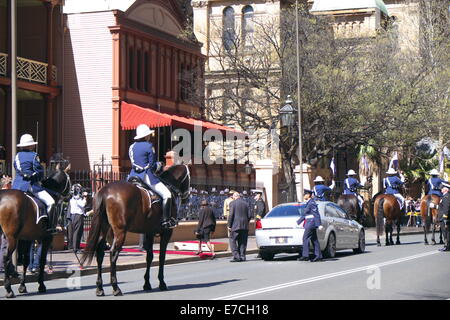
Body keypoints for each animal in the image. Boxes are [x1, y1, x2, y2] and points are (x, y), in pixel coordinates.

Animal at [0, 164, 71, 298]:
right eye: (68, 180)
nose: (70, 196)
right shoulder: (46, 238)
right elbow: (42, 260)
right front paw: (41, 285)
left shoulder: (27, 238)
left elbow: (26, 260)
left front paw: (22, 286)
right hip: (11, 238)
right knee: (6, 257)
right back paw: (8, 289)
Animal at [81, 165, 190, 298]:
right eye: (188, 177)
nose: (187, 197)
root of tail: (105, 190)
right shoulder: (167, 233)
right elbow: (161, 257)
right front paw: (162, 283)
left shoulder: (149, 232)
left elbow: (149, 256)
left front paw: (147, 284)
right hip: (120, 232)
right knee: (113, 253)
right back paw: (116, 288)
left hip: (104, 230)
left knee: (100, 253)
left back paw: (99, 288)